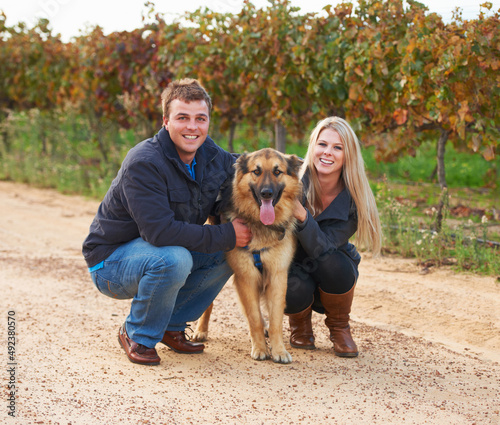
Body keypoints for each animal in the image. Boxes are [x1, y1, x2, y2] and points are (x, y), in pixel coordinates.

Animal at [192, 147, 300, 362]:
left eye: (277, 171)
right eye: (256, 171)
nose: (266, 193)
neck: (260, 225)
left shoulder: (277, 276)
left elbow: (275, 319)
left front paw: (278, 350)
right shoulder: (246, 277)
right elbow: (254, 318)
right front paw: (260, 348)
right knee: (208, 304)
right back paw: (201, 330)